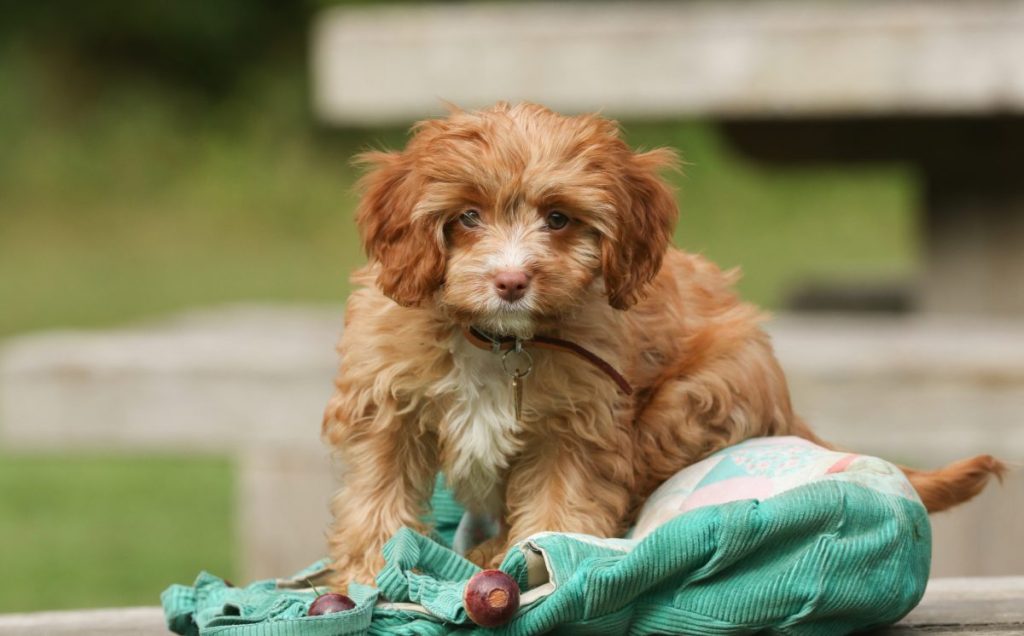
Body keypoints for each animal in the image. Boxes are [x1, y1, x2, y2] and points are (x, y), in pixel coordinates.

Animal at [323, 101, 1003, 585]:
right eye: (466, 217)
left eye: (558, 219)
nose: (511, 281)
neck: (497, 340)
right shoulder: (386, 405)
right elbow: (376, 496)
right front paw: (368, 574)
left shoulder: (579, 428)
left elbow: (561, 510)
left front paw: (533, 561)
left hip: (691, 400)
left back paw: (491, 548)